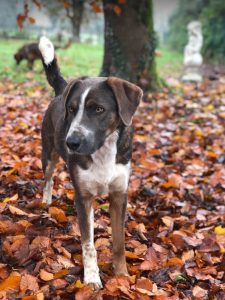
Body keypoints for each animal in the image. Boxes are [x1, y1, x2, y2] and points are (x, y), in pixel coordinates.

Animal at [37, 36, 142, 290]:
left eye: (98, 109)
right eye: (72, 110)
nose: (71, 142)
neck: (103, 150)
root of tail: (62, 89)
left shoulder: (119, 195)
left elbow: (118, 242)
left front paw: (122, 275)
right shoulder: (83, 198)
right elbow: (88, 245)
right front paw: (92, 277)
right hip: (49, 154)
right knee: (48, 178)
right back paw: (46, 201)